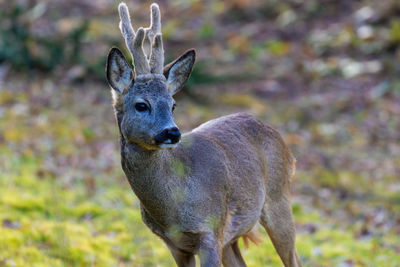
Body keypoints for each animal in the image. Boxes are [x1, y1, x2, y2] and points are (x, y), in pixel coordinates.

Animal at [104, 2, 302, 267]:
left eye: (173, 104)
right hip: (231, 237)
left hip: (278, 197)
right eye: (141, 105)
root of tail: (285, 145)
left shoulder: (210, 231)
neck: (172, 210)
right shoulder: (175, 244)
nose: (172, 132)